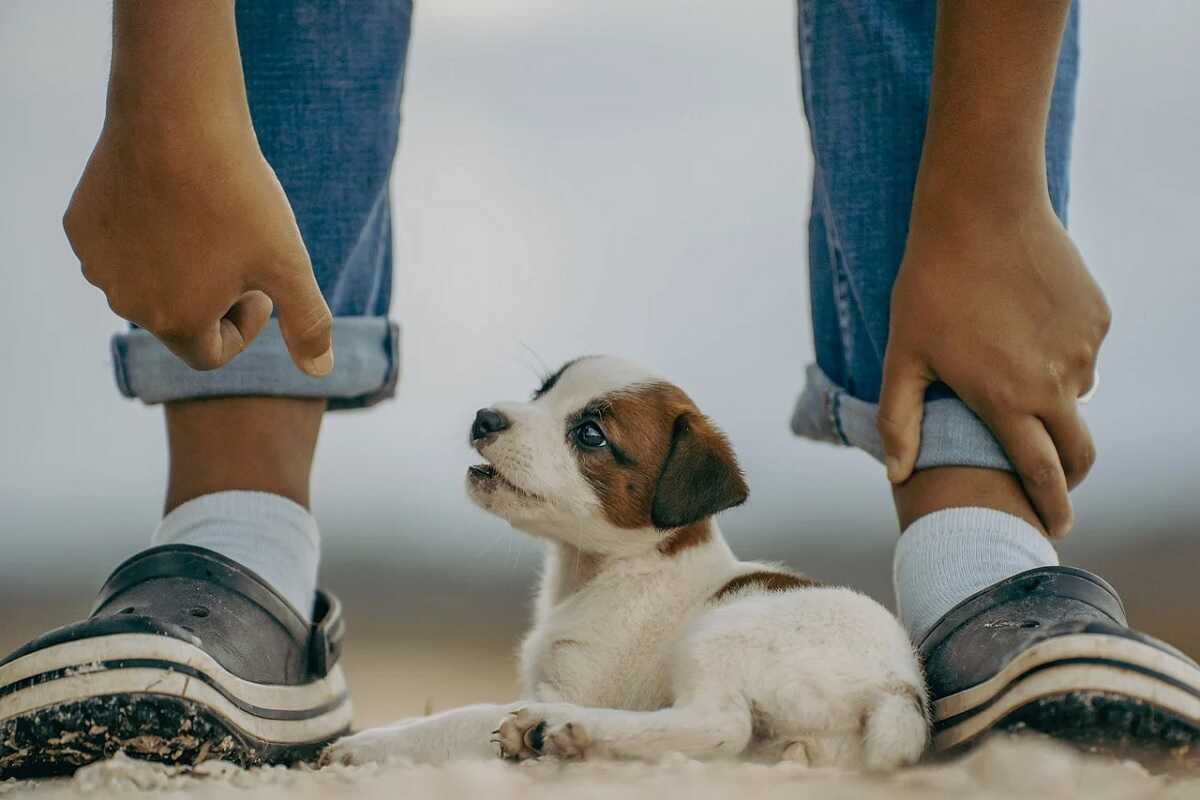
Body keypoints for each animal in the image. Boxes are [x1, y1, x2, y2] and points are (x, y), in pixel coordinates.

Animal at [321, 357, 926, 767]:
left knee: (720, 726)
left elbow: (457, 718)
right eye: (542, 392)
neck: (609, 570)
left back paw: (560, 731)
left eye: (591, 434)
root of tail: (901, 689)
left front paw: (369, 744)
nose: (484, 418)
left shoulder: (572, 688)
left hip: (721, 635)